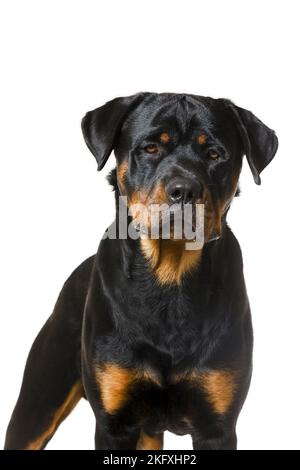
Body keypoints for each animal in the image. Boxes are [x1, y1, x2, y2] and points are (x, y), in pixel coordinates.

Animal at [4, 92, 278, 448]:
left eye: (214, 154)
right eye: (150, 148)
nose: (184, 190)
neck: (170, 278)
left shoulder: (216, 426)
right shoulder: (114, 424)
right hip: (41, 397)